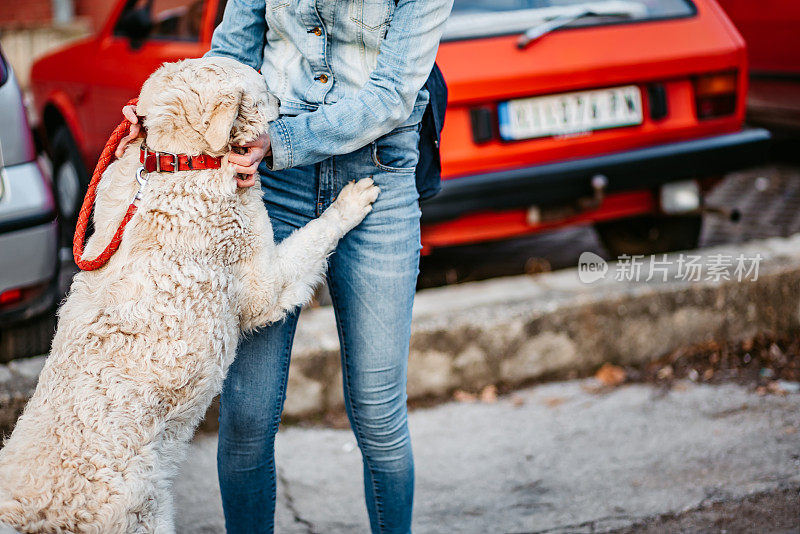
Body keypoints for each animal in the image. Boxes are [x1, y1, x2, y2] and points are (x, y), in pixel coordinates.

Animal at [0, 56, 380, 532]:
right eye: (259, 92)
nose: (282, 103)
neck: (179, 164)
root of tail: (33, 512)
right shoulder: (266, 285)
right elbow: (314, 237)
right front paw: (352, 201)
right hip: (147, 517)